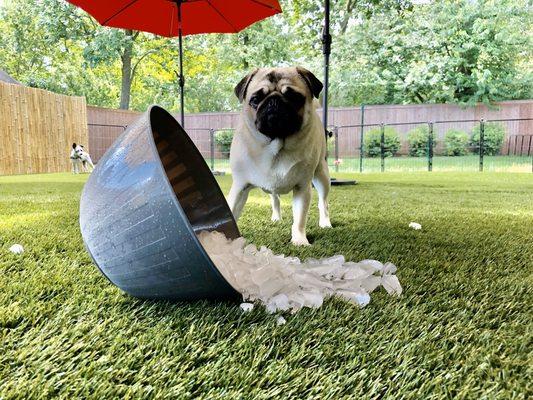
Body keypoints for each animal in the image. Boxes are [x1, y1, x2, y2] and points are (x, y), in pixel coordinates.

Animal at [227, 67, 330, 245]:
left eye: (294, 97)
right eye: (255, 99)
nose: (274, 101)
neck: (275, 147)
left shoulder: (302, 188)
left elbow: (299, 219)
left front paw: (299, 240)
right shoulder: (240, 186)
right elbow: (231, 212)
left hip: (322, 176)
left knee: (323, 202)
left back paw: (325, 222)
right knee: (275, 199)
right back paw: (276, 218)